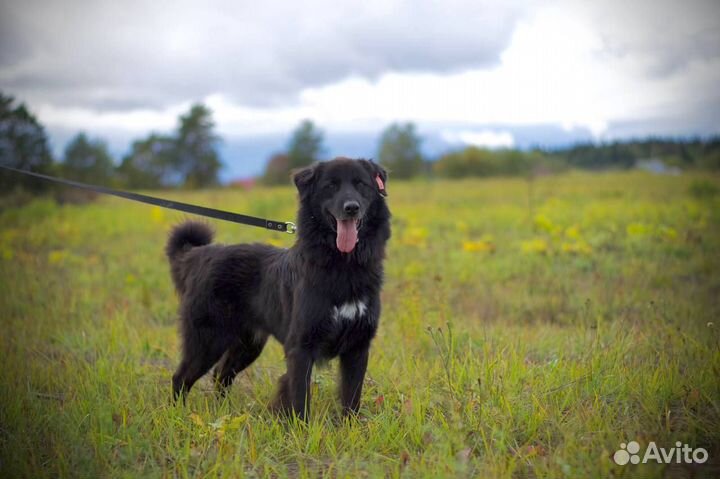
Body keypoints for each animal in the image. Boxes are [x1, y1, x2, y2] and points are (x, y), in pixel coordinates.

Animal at [166, 158, 390, 420]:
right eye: (331, 186)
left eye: (361, 184)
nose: (351, 208)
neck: (343, 265)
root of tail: (197, 255)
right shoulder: (300, 347)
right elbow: (299, 398)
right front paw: (301, 429)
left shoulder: (357, 347)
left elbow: (351, 398)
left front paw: (349, 428)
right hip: (208, 340)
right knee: (181, 377)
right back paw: (176, 416)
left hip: (247, 344)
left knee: (221, 375)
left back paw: (224, 413)